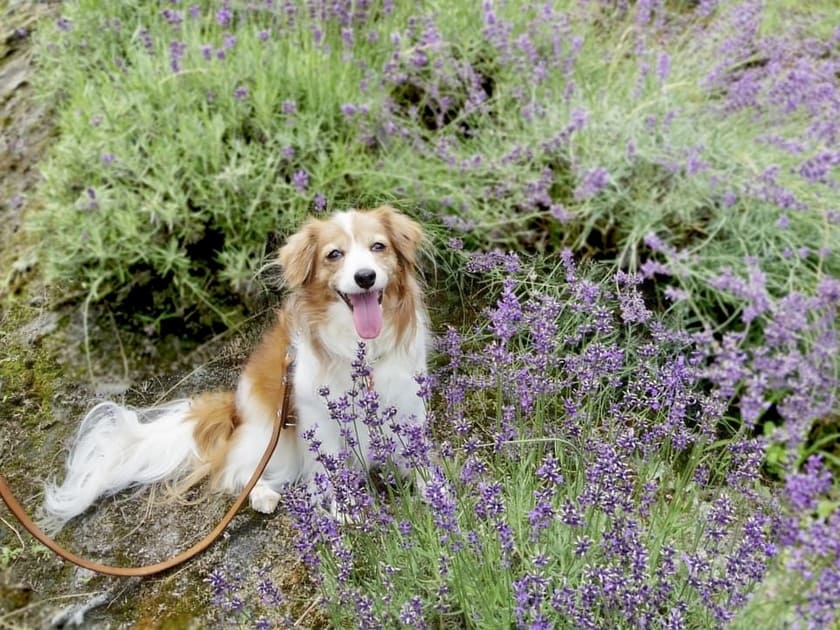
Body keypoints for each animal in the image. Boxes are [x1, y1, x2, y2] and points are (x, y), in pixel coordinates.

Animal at [42, 205, 430, 532]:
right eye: (334, 255)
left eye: (378, 246)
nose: (365, 277)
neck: (359, 350)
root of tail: (233, 409)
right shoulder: (320, 418)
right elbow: (330, 466)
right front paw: (345, 508)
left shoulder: (407, 403)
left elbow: (418, 455)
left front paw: (434, 491)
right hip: (273, 436)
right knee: (237, 470)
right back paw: (262, 494)